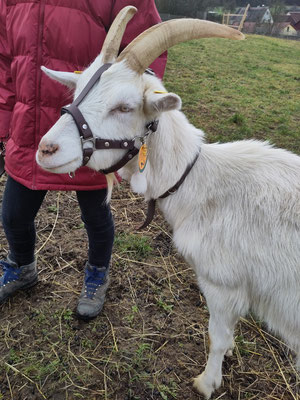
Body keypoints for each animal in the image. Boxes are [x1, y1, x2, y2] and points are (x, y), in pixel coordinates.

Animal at [37, 7, 300, 398]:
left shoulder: (223, 283)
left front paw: (207, 382)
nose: (45, 149)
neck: (200, 182)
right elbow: (229, 333)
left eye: (125, 106)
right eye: (78, 90)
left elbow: (217, 337)